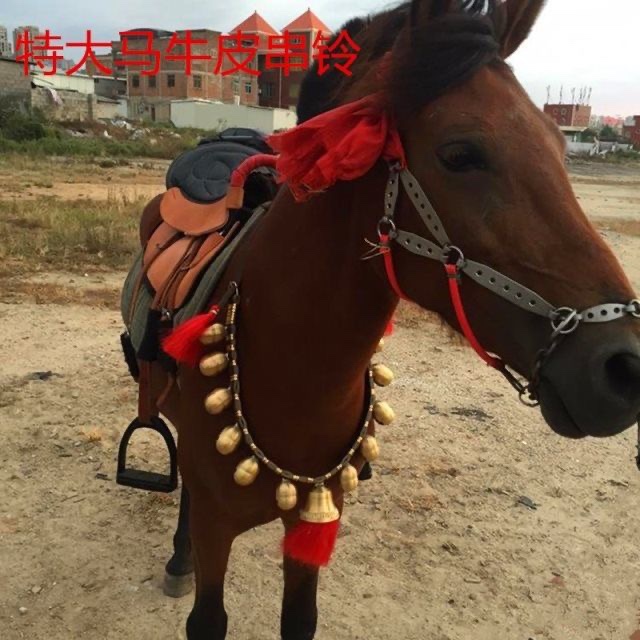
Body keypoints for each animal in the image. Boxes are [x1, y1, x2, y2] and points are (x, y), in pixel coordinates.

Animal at [122, 1, 640, 638]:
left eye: (558, 148)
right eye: (459, 153)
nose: (624, 367)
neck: (288, 369)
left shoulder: (317, 514)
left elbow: (300, 619)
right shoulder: (218, 527)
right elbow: (208, 613)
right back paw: (179, 558)